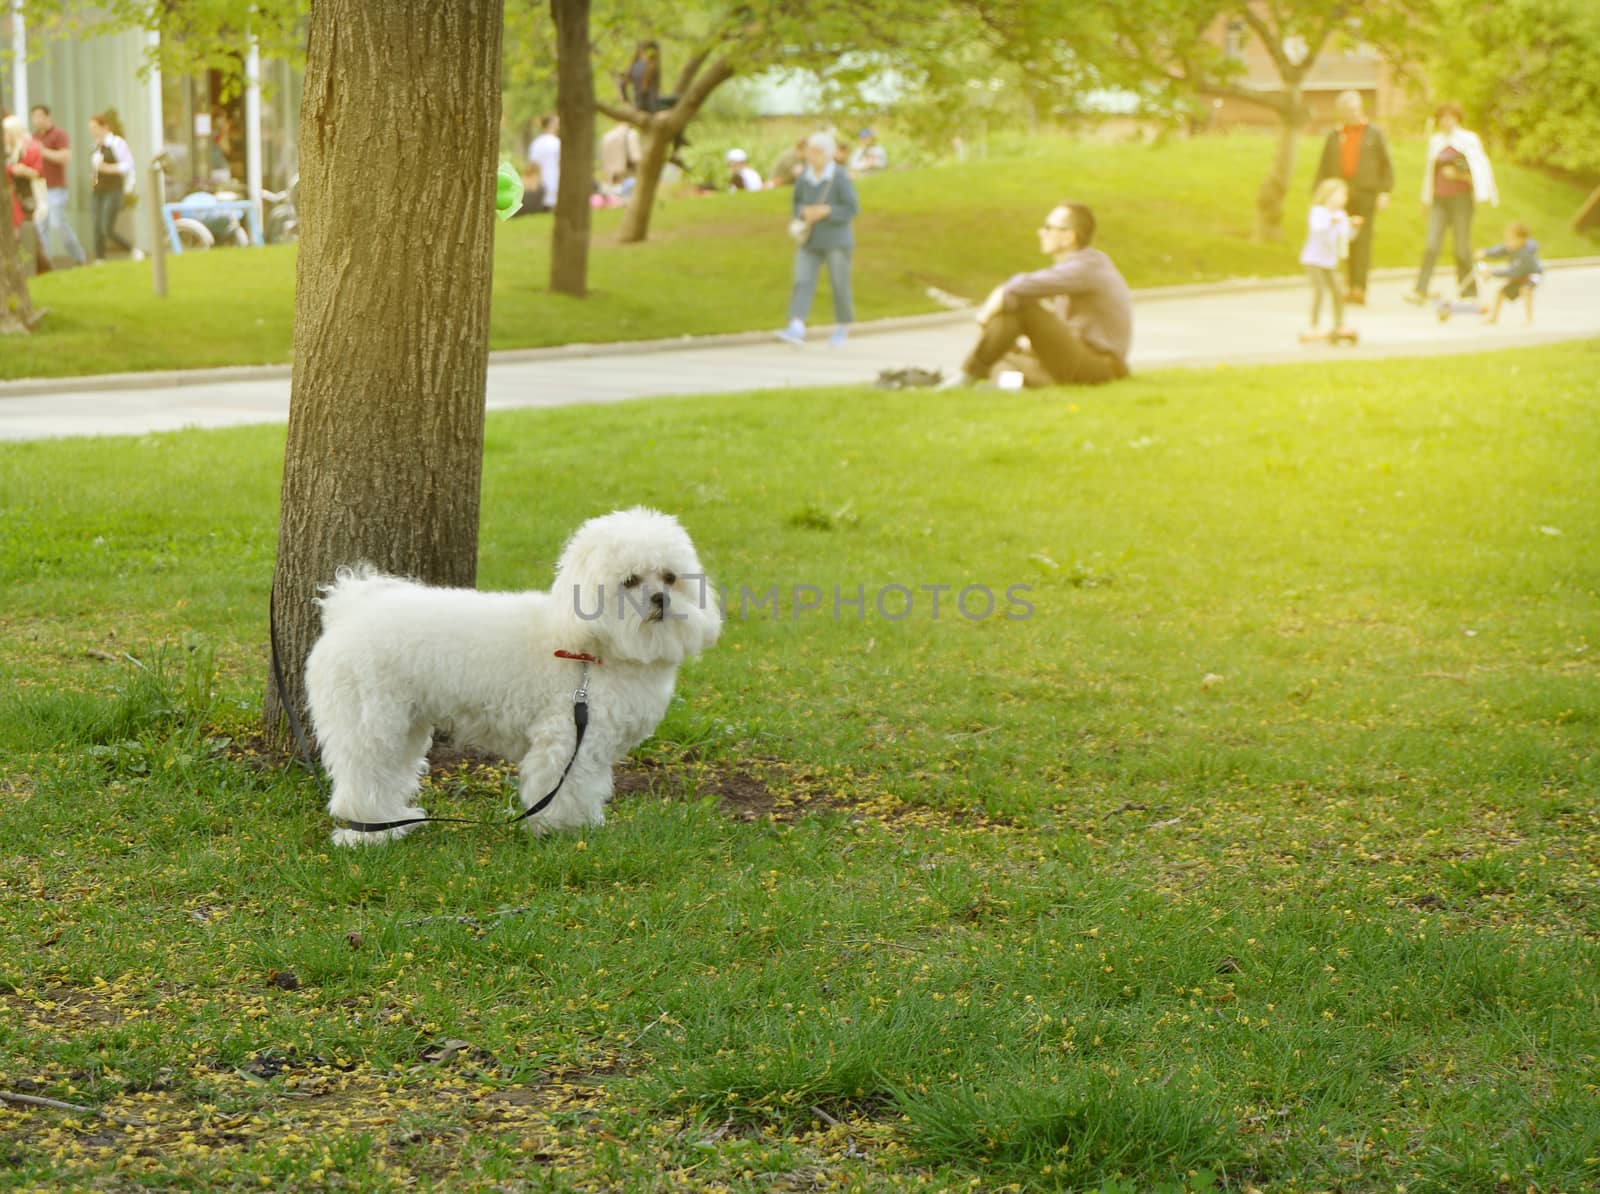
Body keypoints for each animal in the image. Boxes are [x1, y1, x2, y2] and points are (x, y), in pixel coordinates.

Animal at [300, 505, 726, 845]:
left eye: (669, 577)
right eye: (631, 581)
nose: (661, 600)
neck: (594, 650)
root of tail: (350, 610)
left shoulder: (591, 744)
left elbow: (589, 785)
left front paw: (586, 825)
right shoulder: (567, 738)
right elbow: (565, 788)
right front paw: (560, 831)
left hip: (404, 725)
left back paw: (393, 823)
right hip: (368, 720)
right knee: (363, 776)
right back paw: (364, 834)